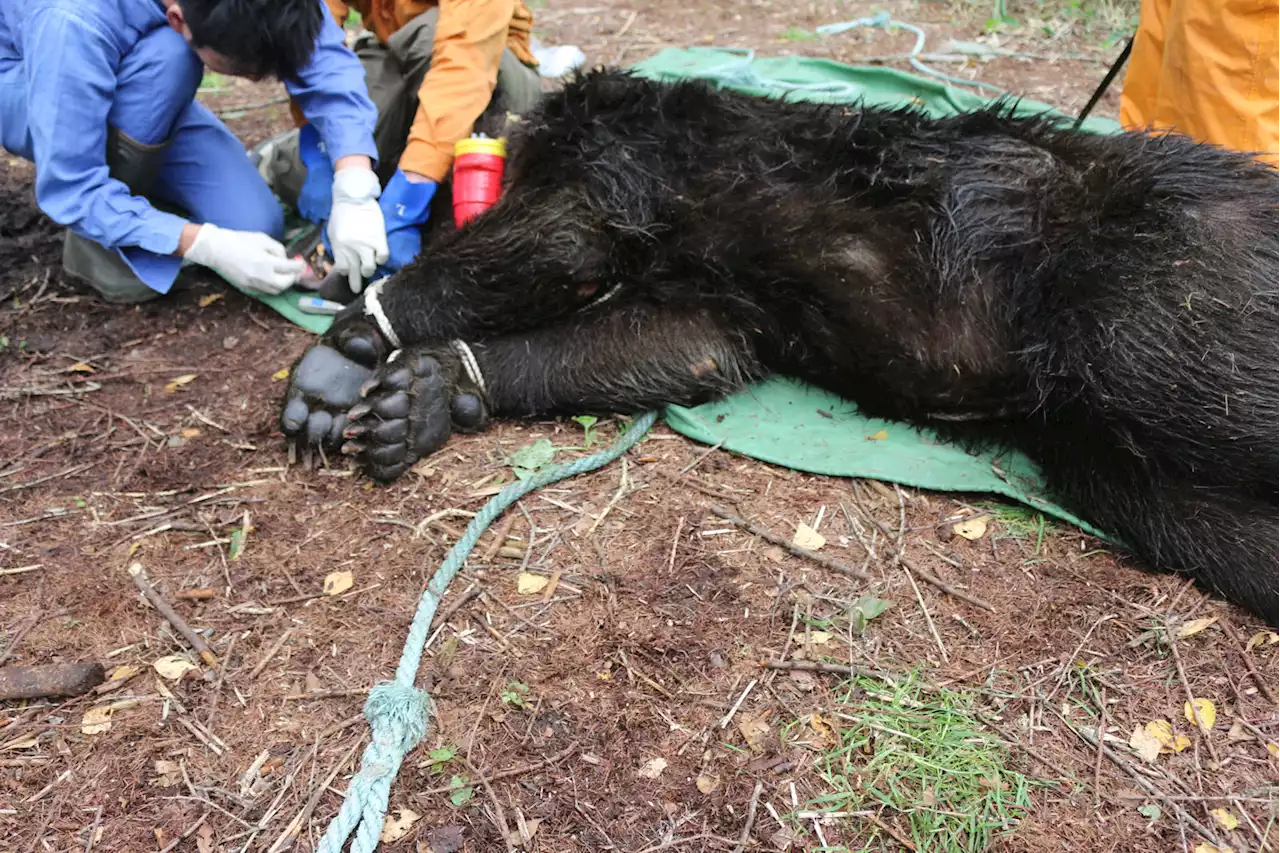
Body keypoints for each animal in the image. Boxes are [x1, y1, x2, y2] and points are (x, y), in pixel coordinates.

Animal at [285, 64, 1280, 625]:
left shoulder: (611, 160)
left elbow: (560, 239)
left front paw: (346, 347)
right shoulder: (709, 313)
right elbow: (682, 343)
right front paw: (423, 398)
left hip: (1156, 320)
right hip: (1131, 470)